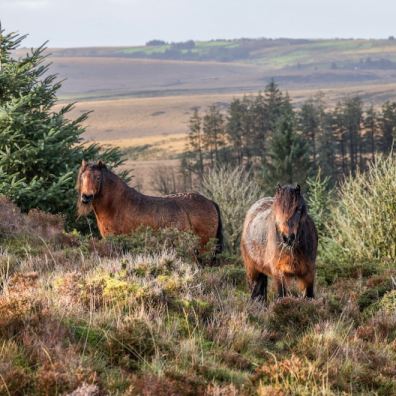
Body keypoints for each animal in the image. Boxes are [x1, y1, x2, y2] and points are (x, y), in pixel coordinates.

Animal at [75, 161, 223, 256]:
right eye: (82, 177)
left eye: (98, 177)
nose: (86, 197)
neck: (116, 206)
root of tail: (210, 202)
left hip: (204, 248)